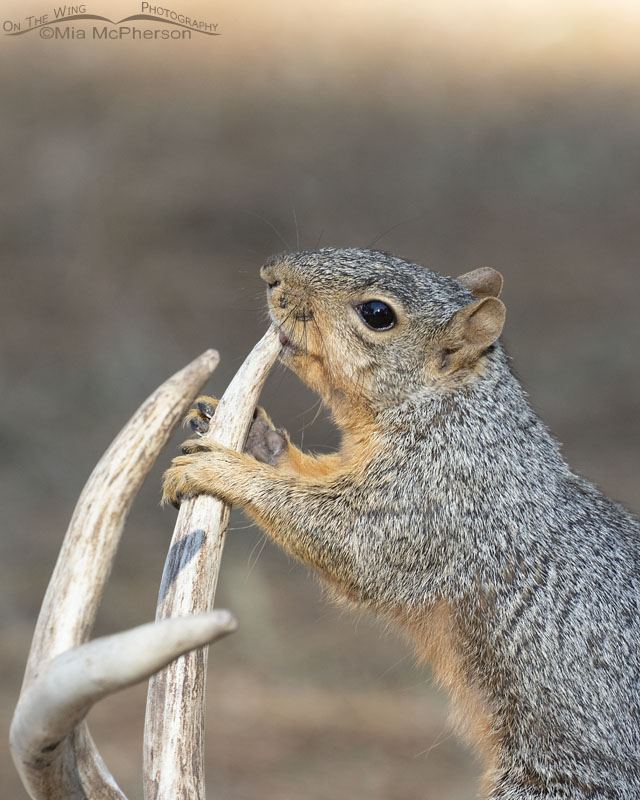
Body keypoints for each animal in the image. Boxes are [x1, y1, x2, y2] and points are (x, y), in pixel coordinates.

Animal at [164, 247, 640, 796]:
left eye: (377, 314)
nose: (271, 276)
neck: (448, 412)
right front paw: (250, 433)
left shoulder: (434, 499)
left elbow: (351, 543)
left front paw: (222, 468)